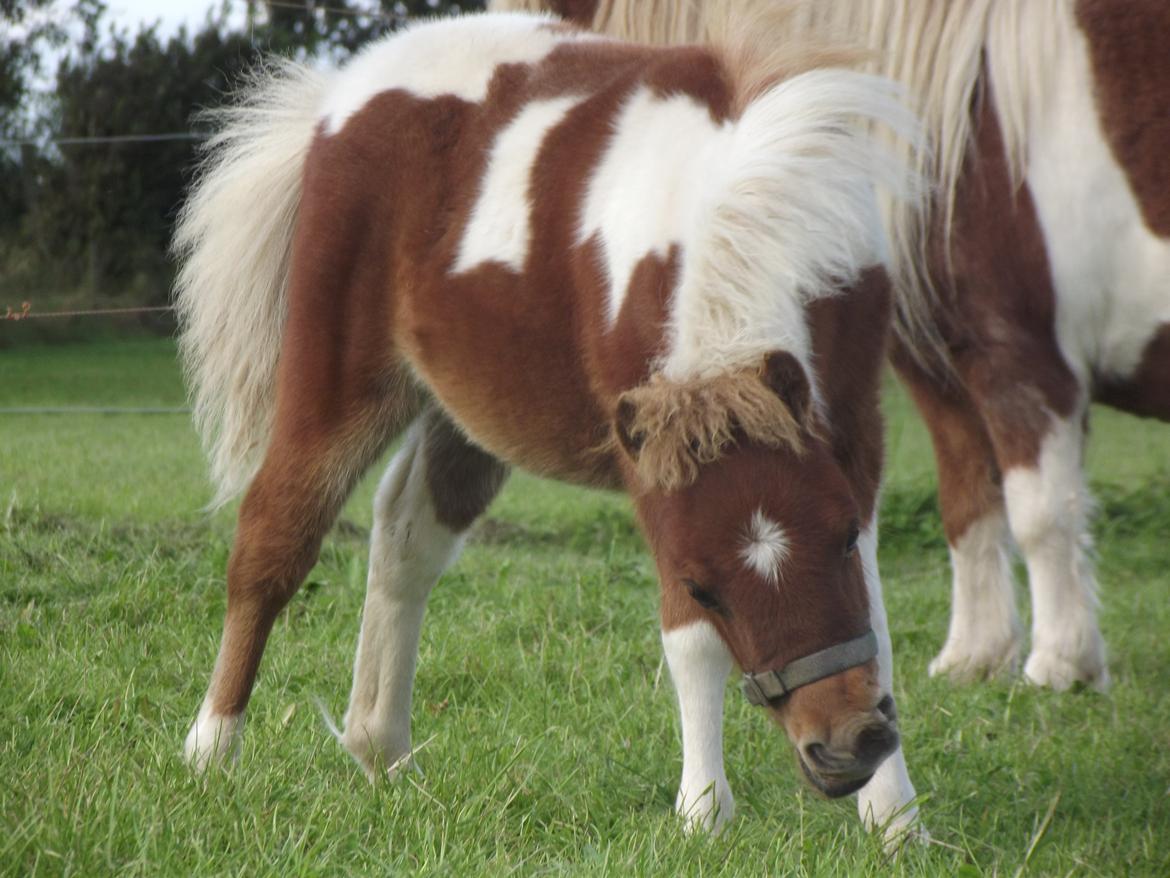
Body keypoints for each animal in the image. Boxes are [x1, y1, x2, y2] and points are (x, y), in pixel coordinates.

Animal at [173, 11, 921, 838]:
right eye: (703, 588)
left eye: (842, 539)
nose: (843, 748)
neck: (737, 204)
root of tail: (335, 97)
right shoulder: (652, 470)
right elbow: (690, 645)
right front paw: (702, 816)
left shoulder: (854, 431)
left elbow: (879, 619)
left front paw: (896, 823)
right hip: (337, 379)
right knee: (274, 535)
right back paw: (210, 750)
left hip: (467, 411)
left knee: (406, 535)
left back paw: (383, 753)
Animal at [498, 0, 1170, 693]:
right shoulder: (942, 369)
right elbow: (967, 503)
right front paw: (975, 658)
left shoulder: (1022, 356)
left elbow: (1043, 512)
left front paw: (1061, 665)